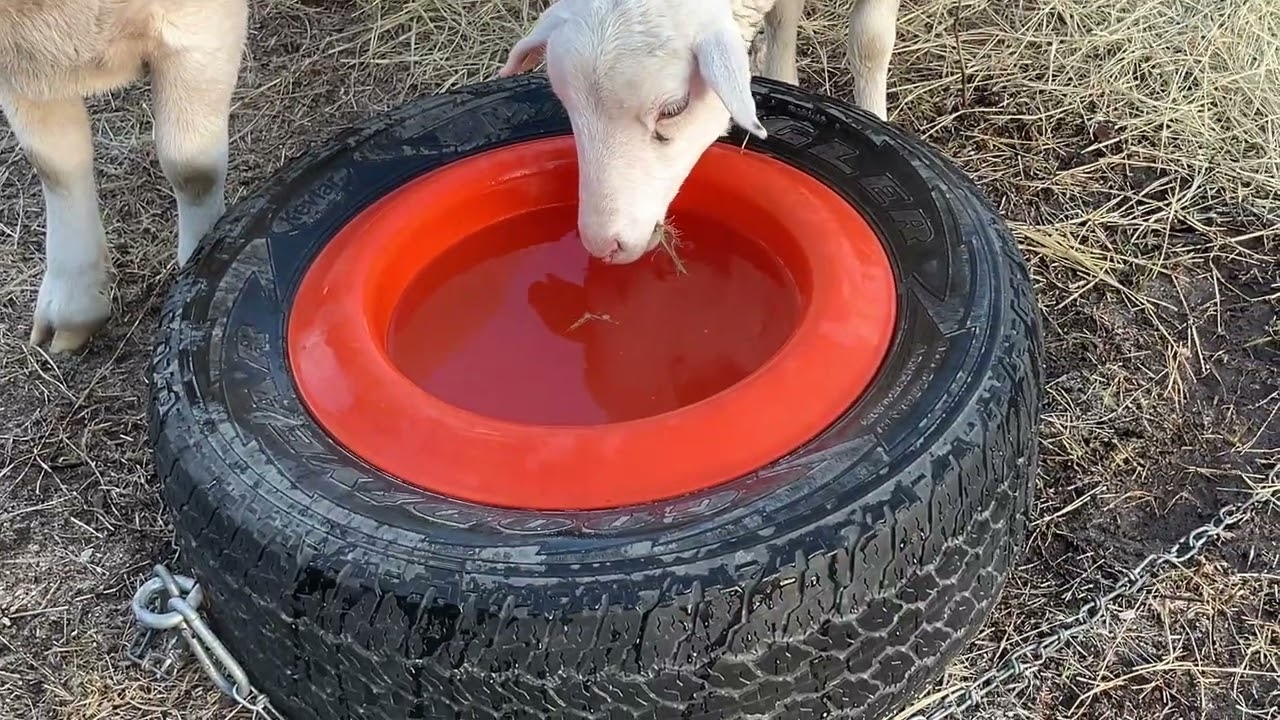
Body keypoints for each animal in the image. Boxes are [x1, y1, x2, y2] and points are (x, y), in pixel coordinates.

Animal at [497, 0, 899, 265]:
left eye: (673, 109)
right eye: (566, 104)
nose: (603, 245)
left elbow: (870, 42)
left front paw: (871, 116)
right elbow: (782, 20)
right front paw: (784, 79)